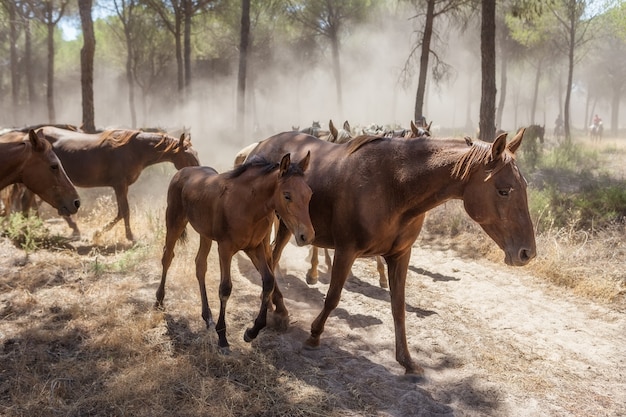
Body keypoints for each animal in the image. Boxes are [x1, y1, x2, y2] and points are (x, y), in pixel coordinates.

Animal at [34, 125, 200, 239]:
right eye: (188, 157)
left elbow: (121, 211)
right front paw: (128, 236)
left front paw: (99, 232)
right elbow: (125, 211)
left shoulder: (122, 187)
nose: (198, 174)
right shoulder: (119, 185)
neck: (135, 150)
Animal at [154, 151, 314, 350]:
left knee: (200, 265)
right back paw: (159, 300)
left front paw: (251, 332)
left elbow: (269, 281)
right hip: (175, 221)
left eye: (309, 194)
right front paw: (222, 337)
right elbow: (225, 288)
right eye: (287, 196)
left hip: (205, 235)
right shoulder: (225, 248)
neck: (248, 205)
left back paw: (207, 316)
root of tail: (182, 171)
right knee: (167, 256)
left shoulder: (255, 248)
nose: (307, 236)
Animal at [243, 127, 532, 376]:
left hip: (286, 227)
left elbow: (398, 307)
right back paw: (280, 312)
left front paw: (407, 361)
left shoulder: (400, 256)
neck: (395, 185)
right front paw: (314, 336)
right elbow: (333, 297)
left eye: (524, 186)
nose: (527, 252)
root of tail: (260, 146)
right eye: (503, 191)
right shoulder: (346, 250)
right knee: (269, 262)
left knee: (272, 261)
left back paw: (279, 310)